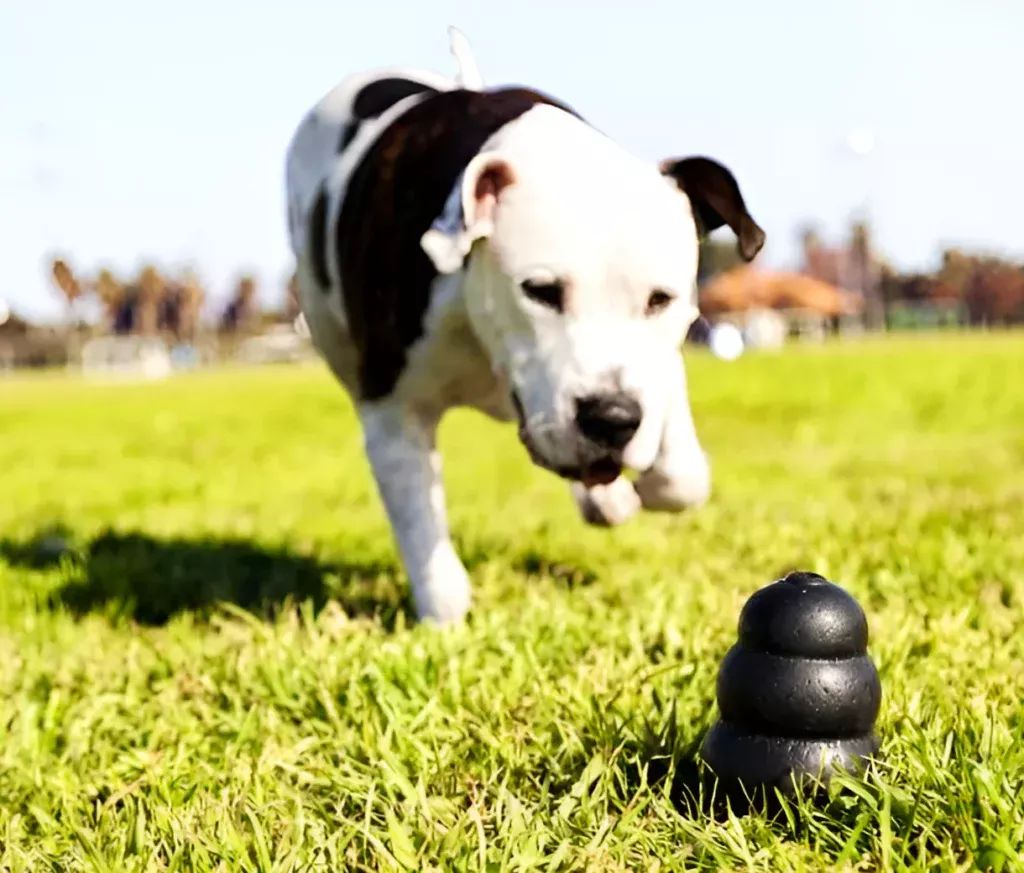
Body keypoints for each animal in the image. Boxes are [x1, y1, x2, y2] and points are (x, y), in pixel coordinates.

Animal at [284, 27, 765, 622]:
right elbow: (424, 536)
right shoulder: (393, 414)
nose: (612, 417)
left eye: (660, 300)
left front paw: (640, 483)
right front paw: (445, 620)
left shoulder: (652, 368)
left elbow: (683, 475)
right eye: (540, 291)